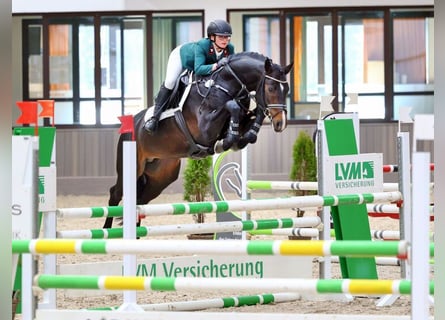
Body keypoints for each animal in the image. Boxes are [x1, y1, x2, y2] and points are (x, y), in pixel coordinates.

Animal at [102, 52, 294, 228]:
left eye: (287, 90)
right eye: (271, 88)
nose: (281, 123)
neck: (225, 84)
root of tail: (131, 123)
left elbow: (251, 114)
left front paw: (243, 137)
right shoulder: (205, 128)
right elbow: (232, 106)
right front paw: (226, 141)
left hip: (161, 177)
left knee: (141, 199)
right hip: (133, 166)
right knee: (115, 193)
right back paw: (106, 230)